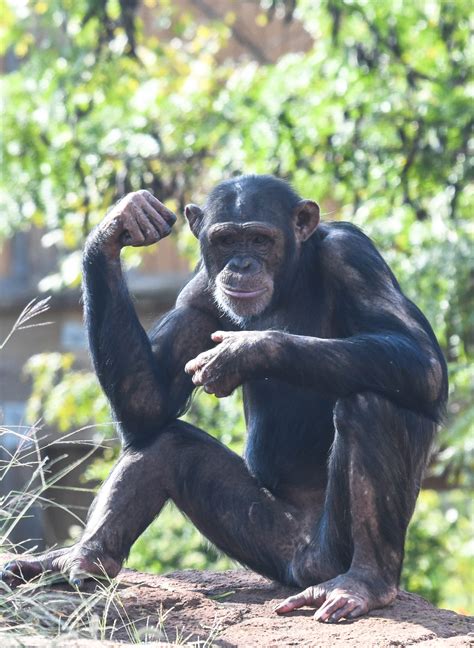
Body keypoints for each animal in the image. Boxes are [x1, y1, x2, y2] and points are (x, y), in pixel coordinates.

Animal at [4, 175, 448, 620]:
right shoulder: (198, 291)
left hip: (330, 551)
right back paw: (79, 559)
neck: (291, 278)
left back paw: (365, 583)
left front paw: (244, 352)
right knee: (167, 443)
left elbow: (422, 361)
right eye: (226, 241)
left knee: (373, 404)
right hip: (272, 546)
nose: (241, 265)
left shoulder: (353, 255)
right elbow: (148, 407)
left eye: (260, 239)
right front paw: (118, 224)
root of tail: (307, 565)